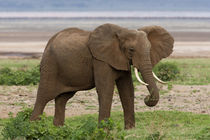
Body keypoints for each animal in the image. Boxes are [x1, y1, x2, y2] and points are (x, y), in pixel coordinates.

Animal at [29, 23, 174, 129]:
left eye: (149, 49)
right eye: (131, 50)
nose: (146, 98)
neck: (123, 32)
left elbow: (127, 89)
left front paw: (130, 129)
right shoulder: (100, 59)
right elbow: (106, 88)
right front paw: (103, 130)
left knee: (62, 99)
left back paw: (58, 129)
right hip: (50, 66)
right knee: (43, 97)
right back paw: (33, 128)